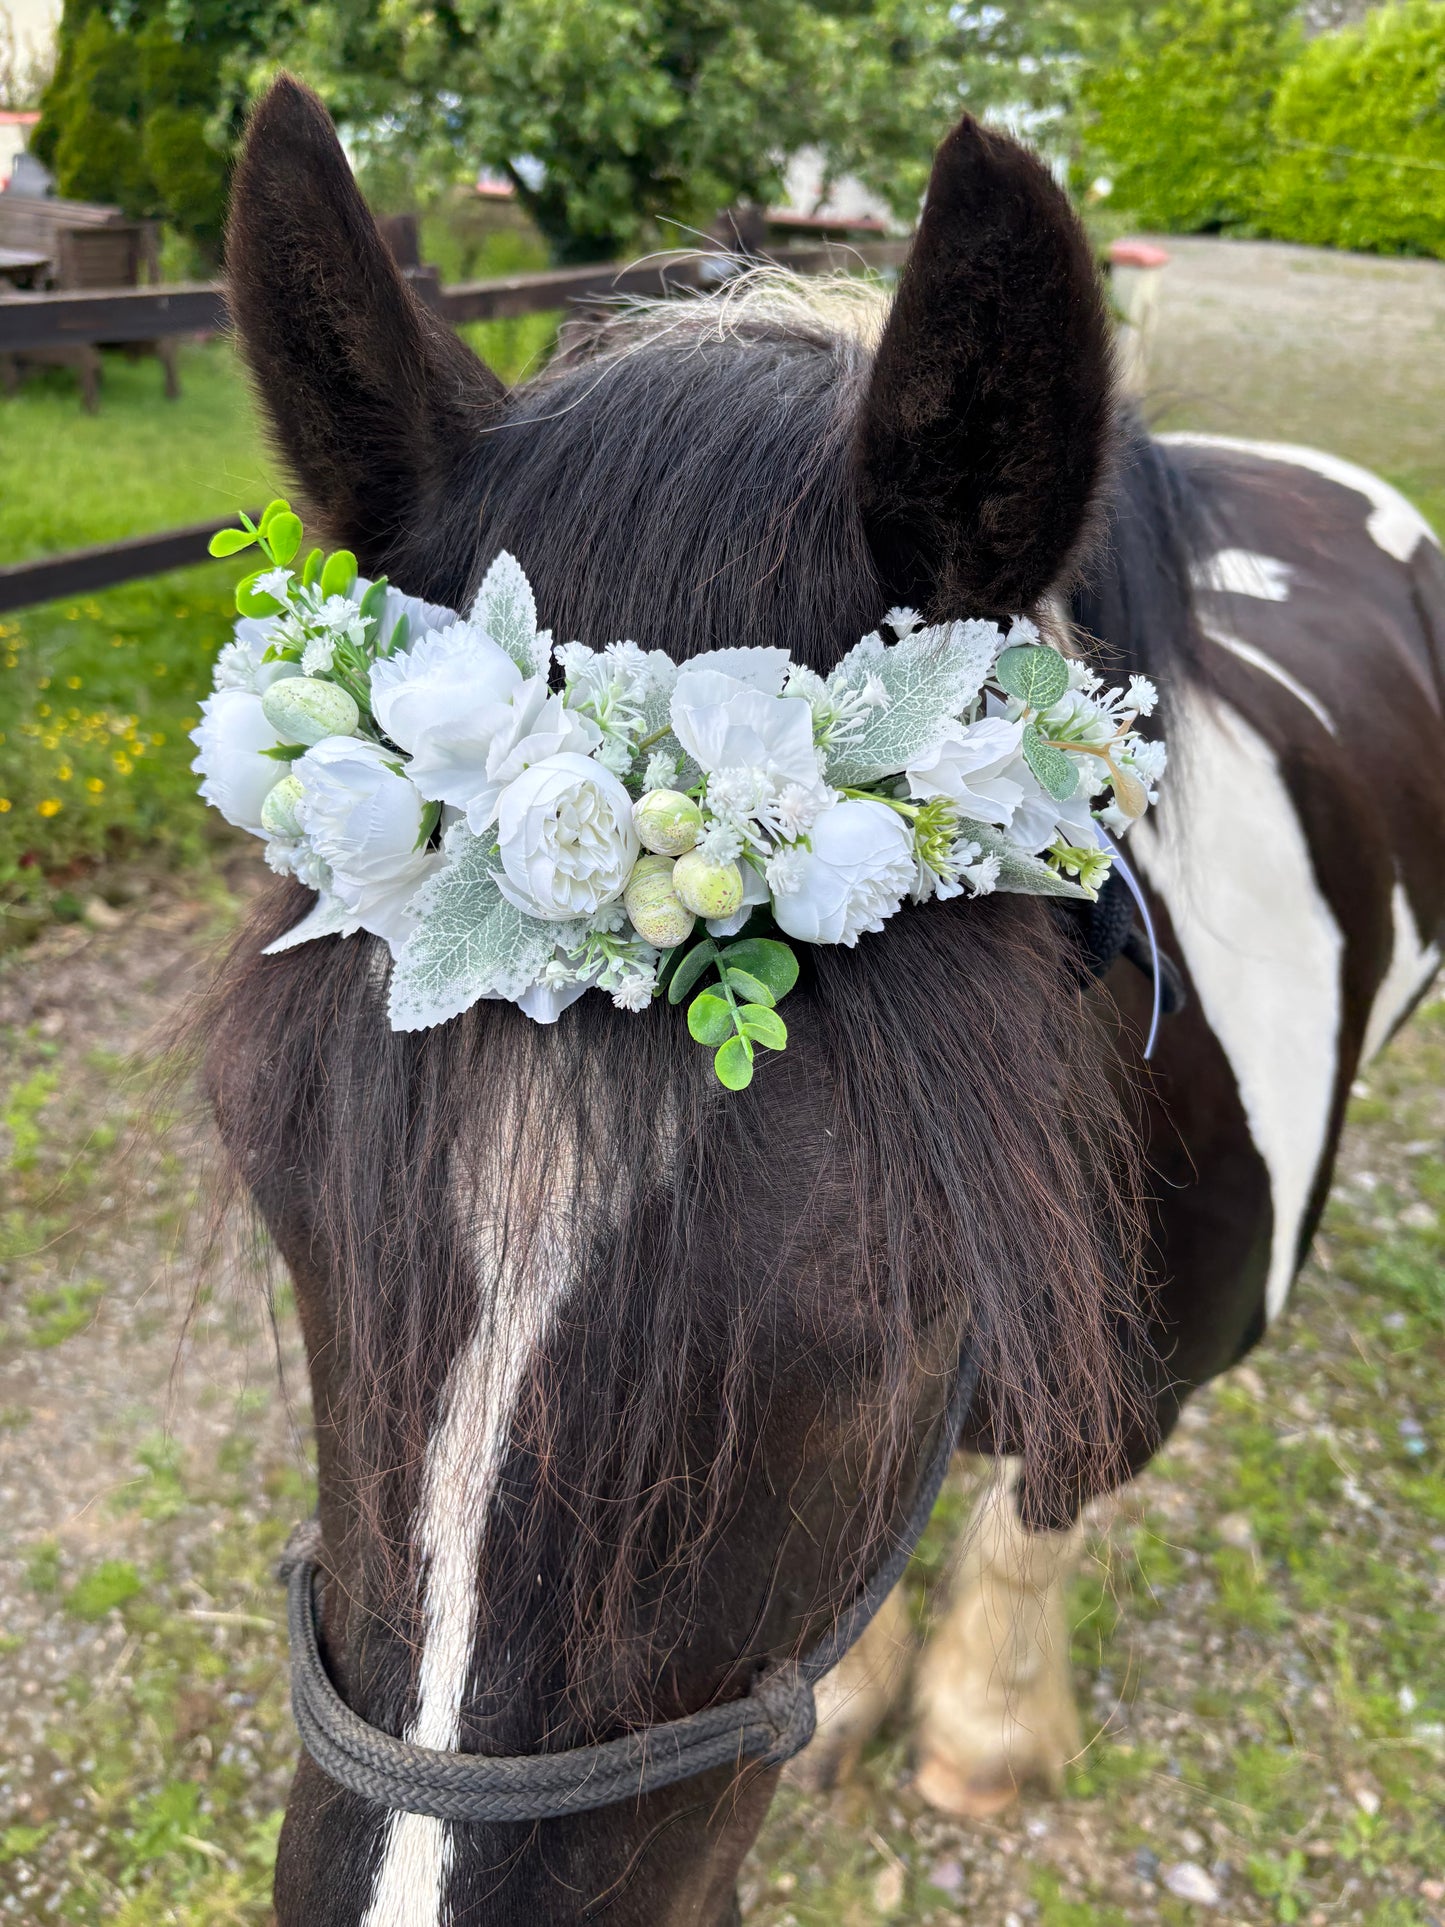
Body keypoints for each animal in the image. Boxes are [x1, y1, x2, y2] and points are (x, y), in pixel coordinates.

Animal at [200, 77, 1445, 1926]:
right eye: (275, 1167)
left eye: (899, 1275)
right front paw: (862, 1702)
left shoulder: (1140, 1390)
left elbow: (1028, 1523)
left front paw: (981, 1727)